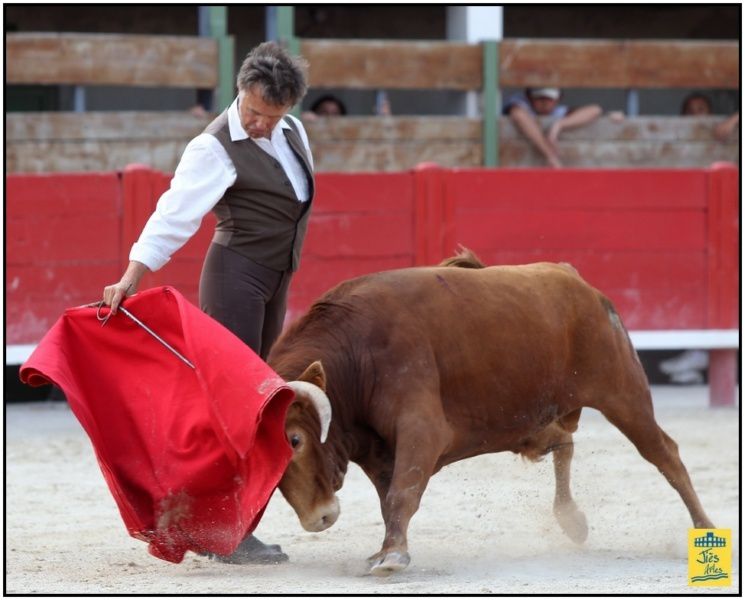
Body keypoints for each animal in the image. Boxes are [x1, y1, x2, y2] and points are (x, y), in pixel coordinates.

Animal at [270, 248, 712, 576]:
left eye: (295, 439)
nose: (317, 519)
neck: (356, 353)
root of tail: (573, 277)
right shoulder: (380, 450)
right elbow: (391, 496)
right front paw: (387, 550)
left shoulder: (420, 429)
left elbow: (401, 493)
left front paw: (392, 556)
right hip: (535, 416)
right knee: (562, 443)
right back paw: (571, 519)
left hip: (623, 393)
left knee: (665, 454)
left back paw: (704, 527)